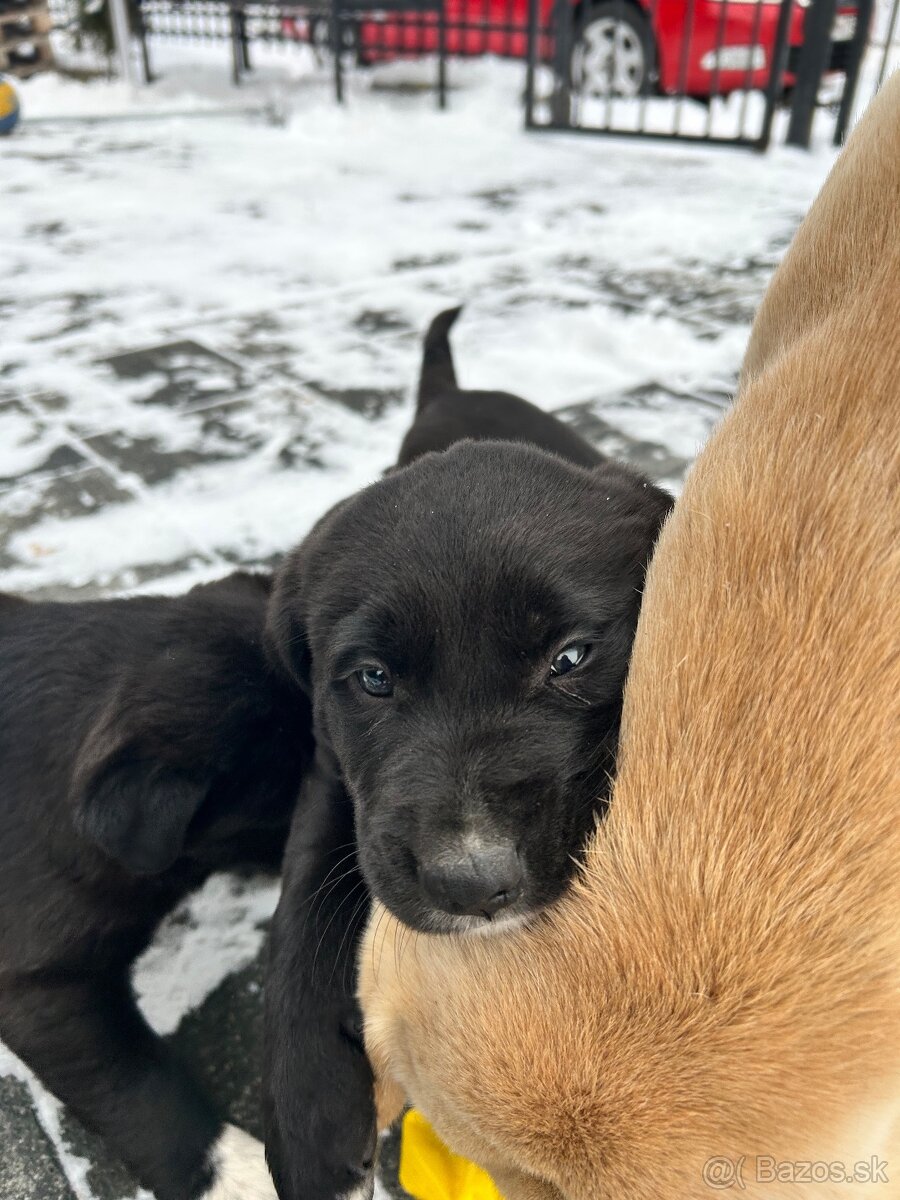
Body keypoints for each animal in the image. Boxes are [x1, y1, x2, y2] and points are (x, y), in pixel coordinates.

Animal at [264, 312, 672, 1200]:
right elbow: (301, 906)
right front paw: (309, 1121)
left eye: (571, 657)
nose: (472, 883)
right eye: (373, 679)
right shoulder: (333, 771)